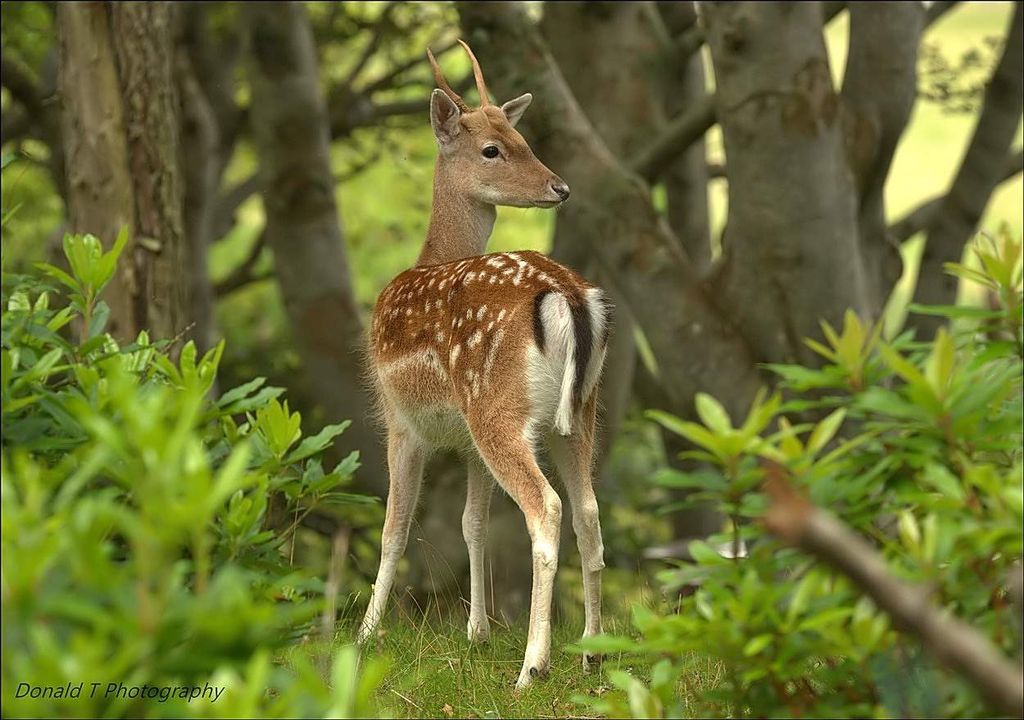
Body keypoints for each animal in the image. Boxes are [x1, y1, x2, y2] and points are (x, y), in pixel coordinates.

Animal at [358, 40, 606, 692]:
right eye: (494, 147)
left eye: (520, 137)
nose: (559, 187)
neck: (430, 256)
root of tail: (567, 296)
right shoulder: (464, 442)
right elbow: (472, 523)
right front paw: (476, 632)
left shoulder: (400, 419)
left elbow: (394, 528)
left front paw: (365, 635)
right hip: (578, 412)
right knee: (588, 509)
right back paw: (594, 650)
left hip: (498, 409)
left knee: (547, 509)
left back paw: (533, 666)